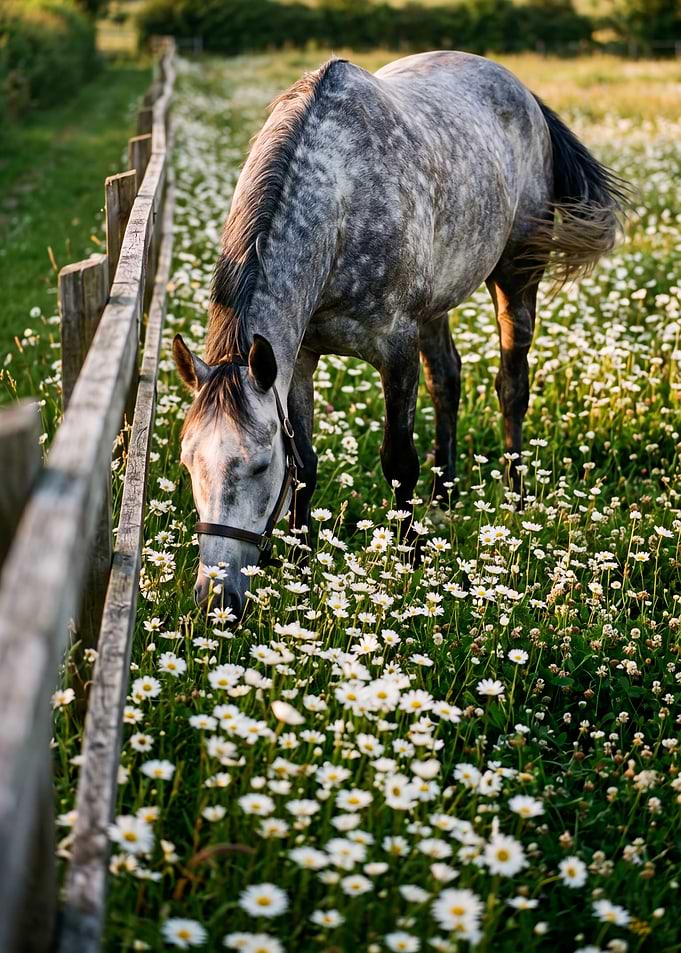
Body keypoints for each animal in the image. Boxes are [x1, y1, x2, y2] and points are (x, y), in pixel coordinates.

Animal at [173, 50, 629, 613]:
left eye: (259, 466)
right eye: (188, 463)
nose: (215, 600)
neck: (341, 201)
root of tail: (521, 90)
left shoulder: (396, 350)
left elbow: (399, 461)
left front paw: (410, 565)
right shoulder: (296, 361)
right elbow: (306, 464)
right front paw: (301, 566)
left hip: (516, 277)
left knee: (512, 387)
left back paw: (517, 497)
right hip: (437, 307)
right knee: (448, 380)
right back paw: (445, 496)